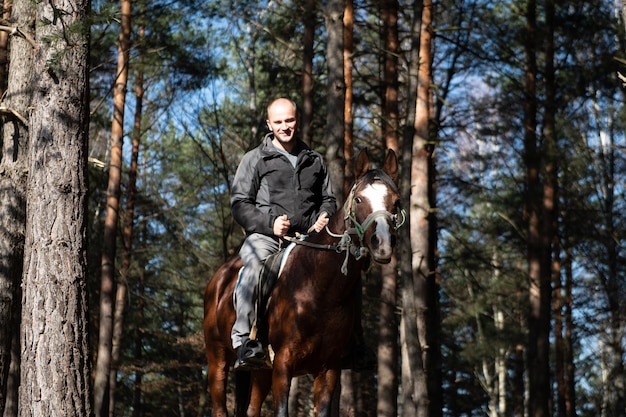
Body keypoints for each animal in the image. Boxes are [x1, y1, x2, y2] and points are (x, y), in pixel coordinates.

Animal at [202, 149, 402, 416]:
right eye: (359, 199)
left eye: (396, 201)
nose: (382, 243)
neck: (318, 288)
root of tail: (218, 279)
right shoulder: (283, 364)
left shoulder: (329, 368)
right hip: (217, 361)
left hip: (260, 372)